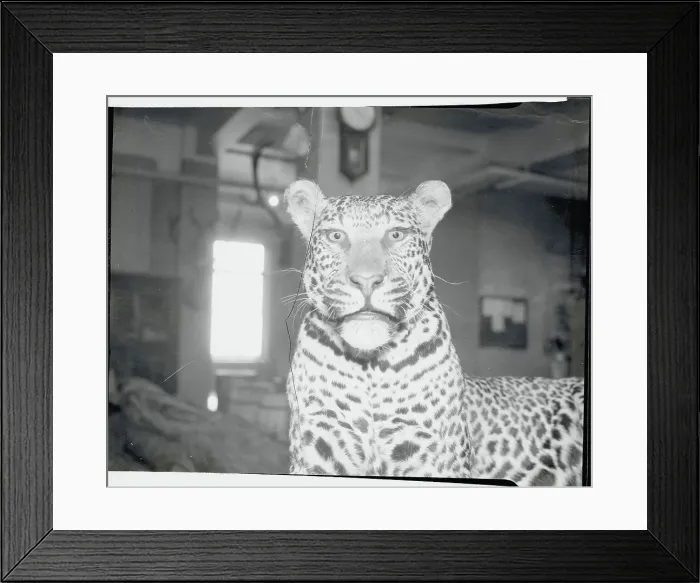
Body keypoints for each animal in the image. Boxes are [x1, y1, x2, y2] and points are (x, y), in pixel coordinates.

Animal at [283, 178, 585, 486]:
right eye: (336, 236)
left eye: (396, 234)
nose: (366, 280)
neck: (371, 370)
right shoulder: (320, 446)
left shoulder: (433, 455)